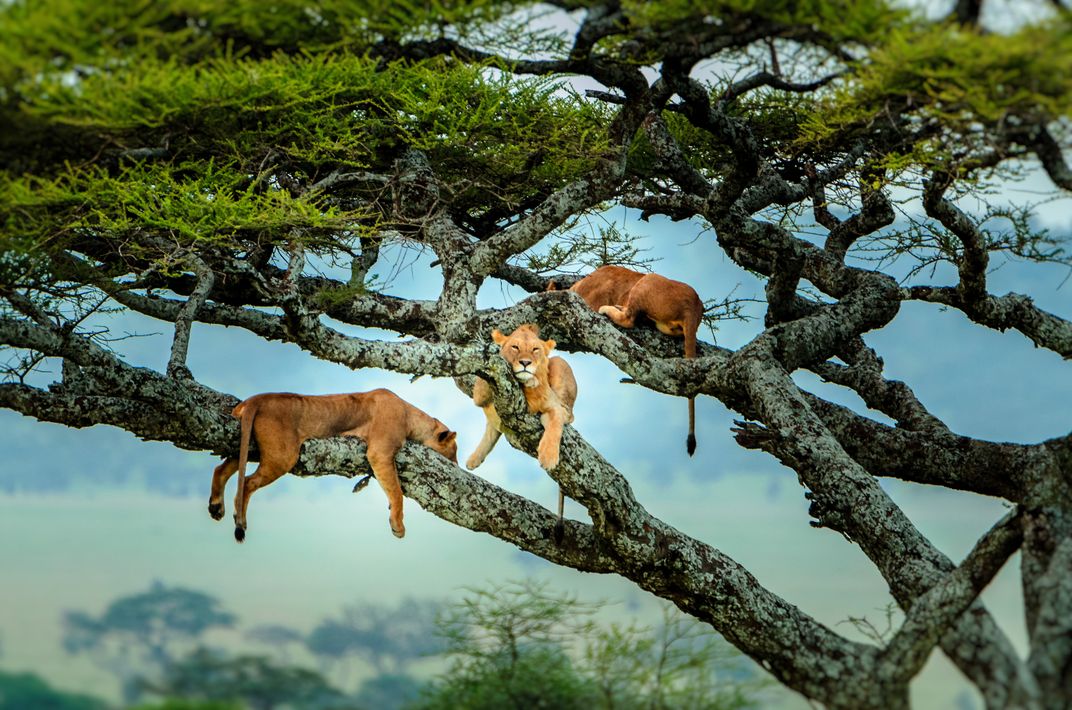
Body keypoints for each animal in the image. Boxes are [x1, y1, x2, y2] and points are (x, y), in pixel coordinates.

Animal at [207, 392, 456, 542]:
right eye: (453, 453)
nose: (456, 466)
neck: (410, 414)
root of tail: (255, 399)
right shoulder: (380, 452)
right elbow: (396, 491)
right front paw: (398, 526)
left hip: (245, 443)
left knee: (222, 469)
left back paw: (216, 507)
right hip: (281, 455)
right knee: (247, 482)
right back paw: (240, 521)